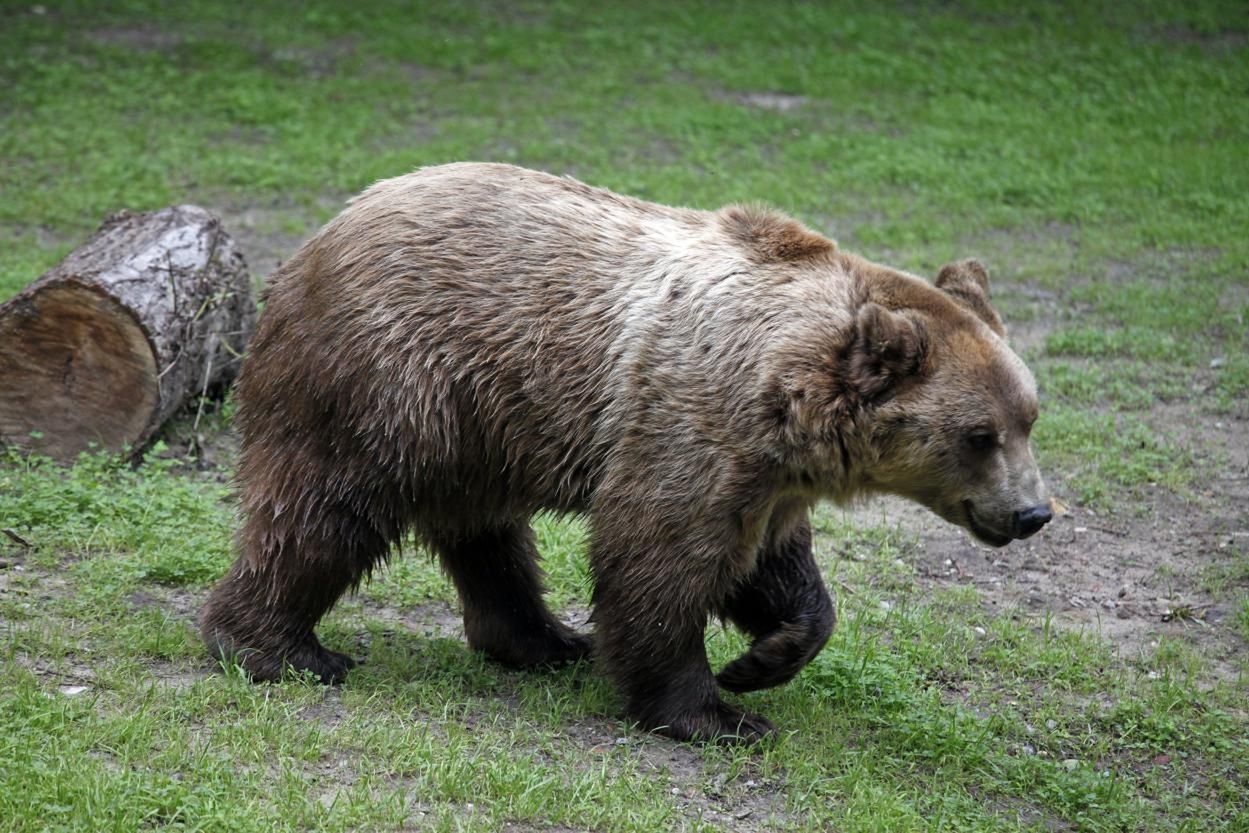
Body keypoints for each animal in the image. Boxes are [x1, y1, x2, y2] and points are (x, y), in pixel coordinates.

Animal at [199, 162, 1049, 744]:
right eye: (979, 434)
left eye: (1029, 417)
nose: (1032, 511)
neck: (789, 398)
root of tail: (316, 239)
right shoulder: (690, 421)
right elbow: (658, 553)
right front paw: (712, 711)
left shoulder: (767, 475)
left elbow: (777, 569)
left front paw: (766, 655)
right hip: (386, 375)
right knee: (326, 509)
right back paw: (281, 648)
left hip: (477, 422)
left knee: (486, 533)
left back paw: (543, 639)